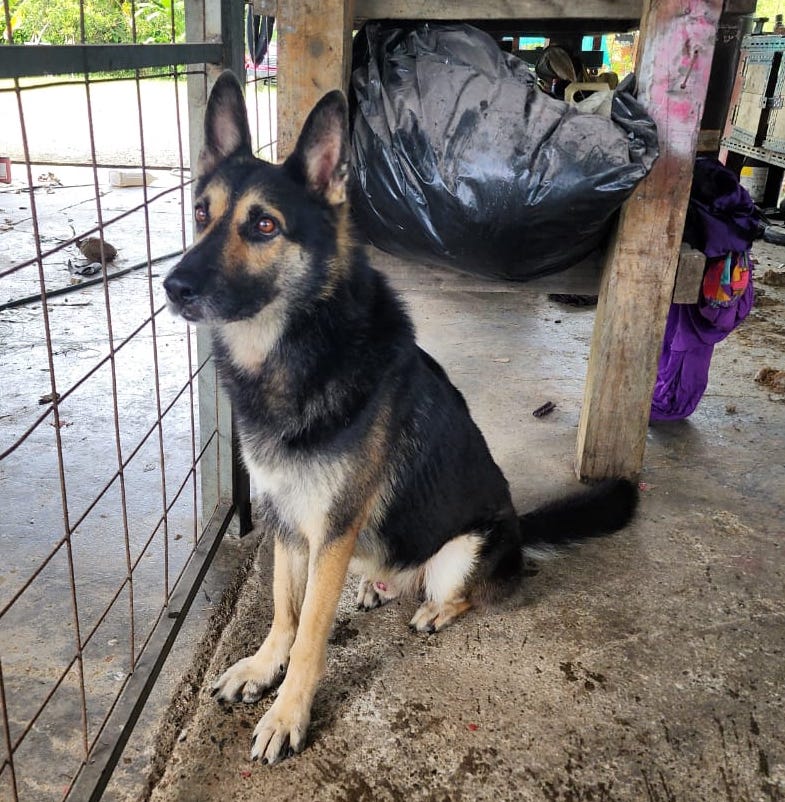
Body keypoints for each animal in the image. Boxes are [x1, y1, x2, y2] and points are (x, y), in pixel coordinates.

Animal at [165, 70, 636, 764]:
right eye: (202, 213)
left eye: (264, 225)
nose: (173, 287)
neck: (299, 349)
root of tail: (518, 526)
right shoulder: (289, 521)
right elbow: (284, 607)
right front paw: (262, 666)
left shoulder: (331, 528)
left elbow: (311, 631)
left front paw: (288, 712)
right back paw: (372, 586)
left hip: (462, 552)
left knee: (467, 592)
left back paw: (434, 608)